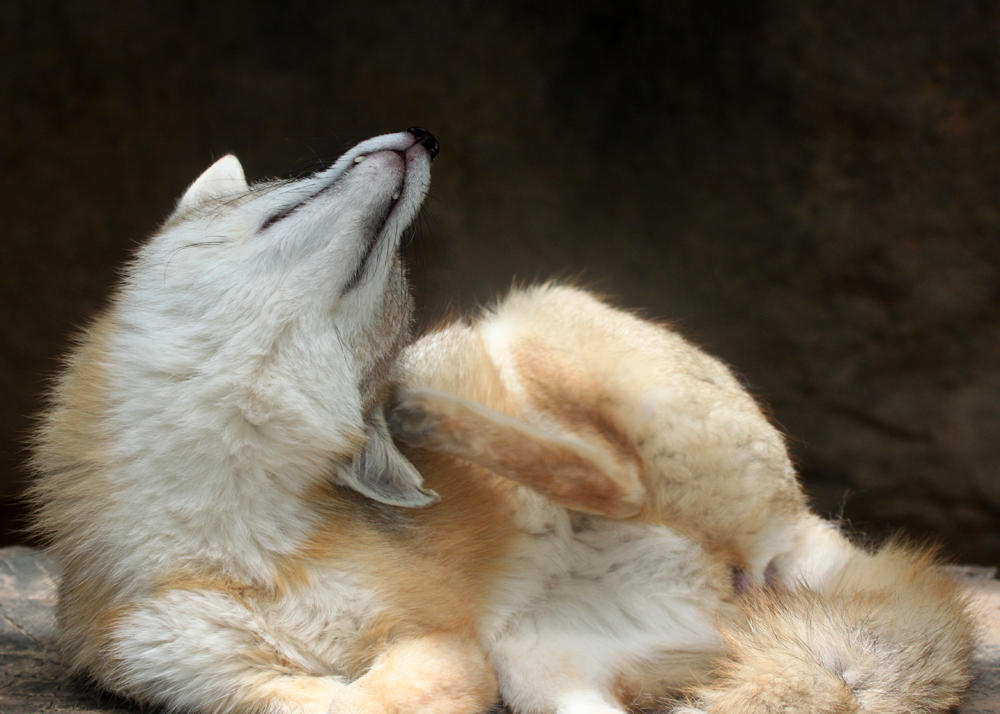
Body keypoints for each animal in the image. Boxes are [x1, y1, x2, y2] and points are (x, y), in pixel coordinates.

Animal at [29, 126, 973, 714]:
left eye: (392, 279)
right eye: (286, 189)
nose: (422, 138)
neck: (233, 526)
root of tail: (797, 542)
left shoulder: (433, 629)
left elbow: (405, 691)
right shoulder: (196, 675)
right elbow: (340, 698)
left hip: (536, 323)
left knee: (617, 478)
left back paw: (426, 414)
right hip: (544, 672)